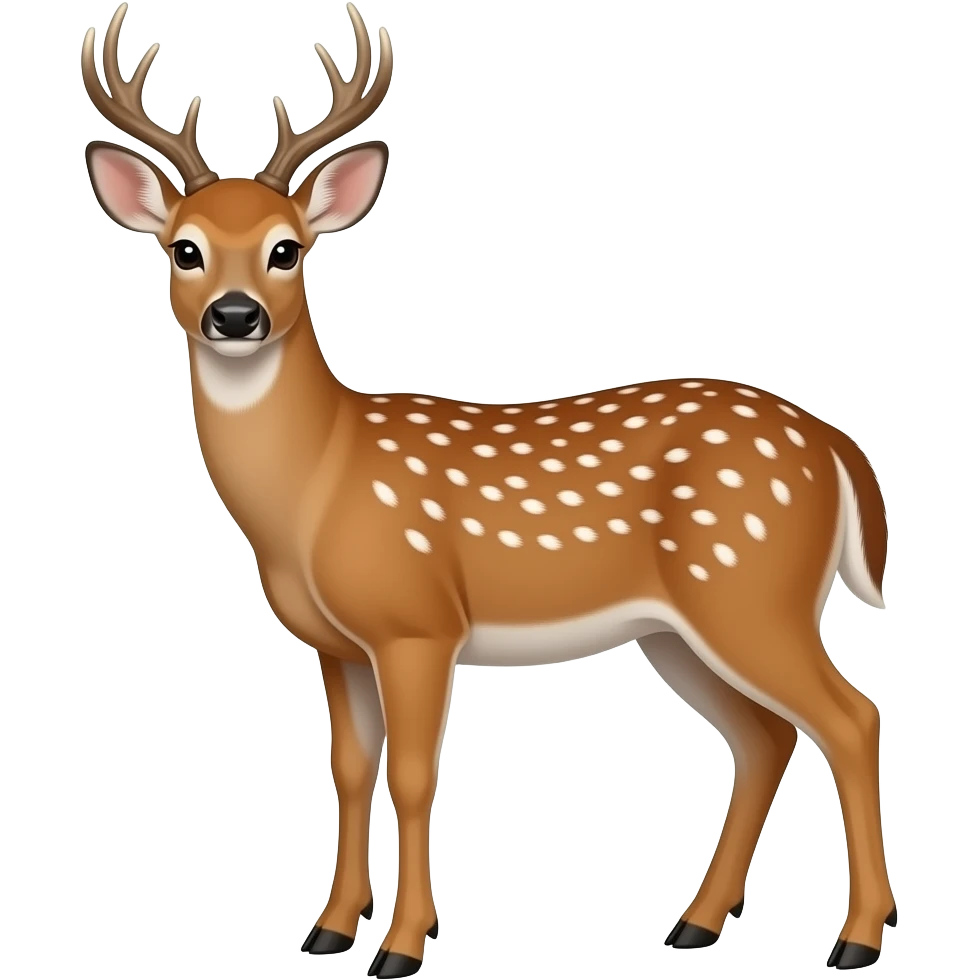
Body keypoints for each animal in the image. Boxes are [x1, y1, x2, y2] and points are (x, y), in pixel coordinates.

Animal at [81, 4, 897, 975]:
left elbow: (412, 774)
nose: (233, 316)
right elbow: (349, 771)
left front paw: (402, 944)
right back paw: (695, 923)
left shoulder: (417, 621)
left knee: (851, 718)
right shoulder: (337, 645)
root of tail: (837, 446)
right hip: (679, 629)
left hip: (753, 588)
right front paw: (329, 929)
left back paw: (856, 938)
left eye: (288, 249)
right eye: (184, 249)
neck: (317, 487)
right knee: (765, 736)